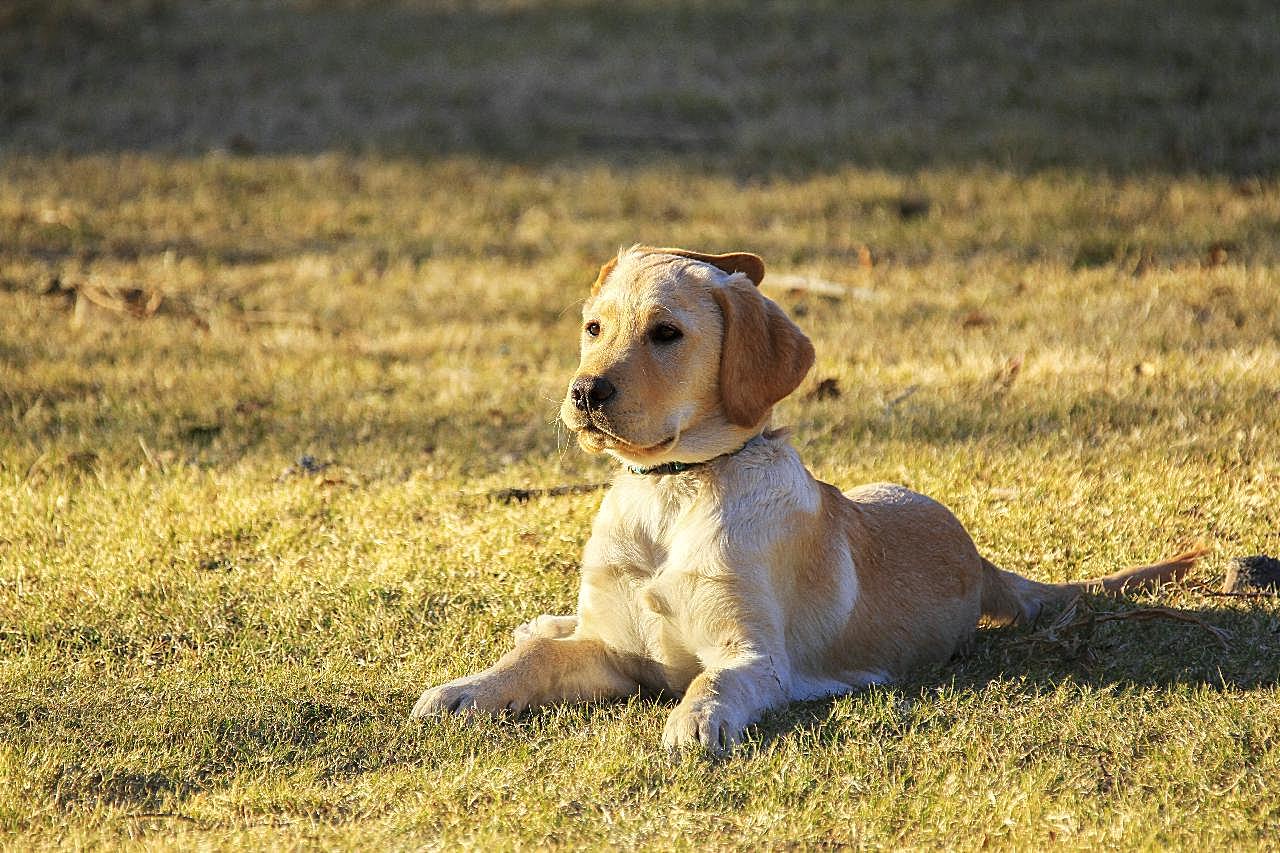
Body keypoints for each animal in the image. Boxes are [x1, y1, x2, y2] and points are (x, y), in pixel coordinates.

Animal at [409, 244, 1198, 753]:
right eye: (592, 327)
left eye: (666, 333)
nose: (584, 392)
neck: (674, 490)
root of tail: (979, 559)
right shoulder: (610, 649)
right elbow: (537, 661)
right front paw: (466, 690)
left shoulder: (755, 657)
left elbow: (712, 684)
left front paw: (695, 721)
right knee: (548, 631)